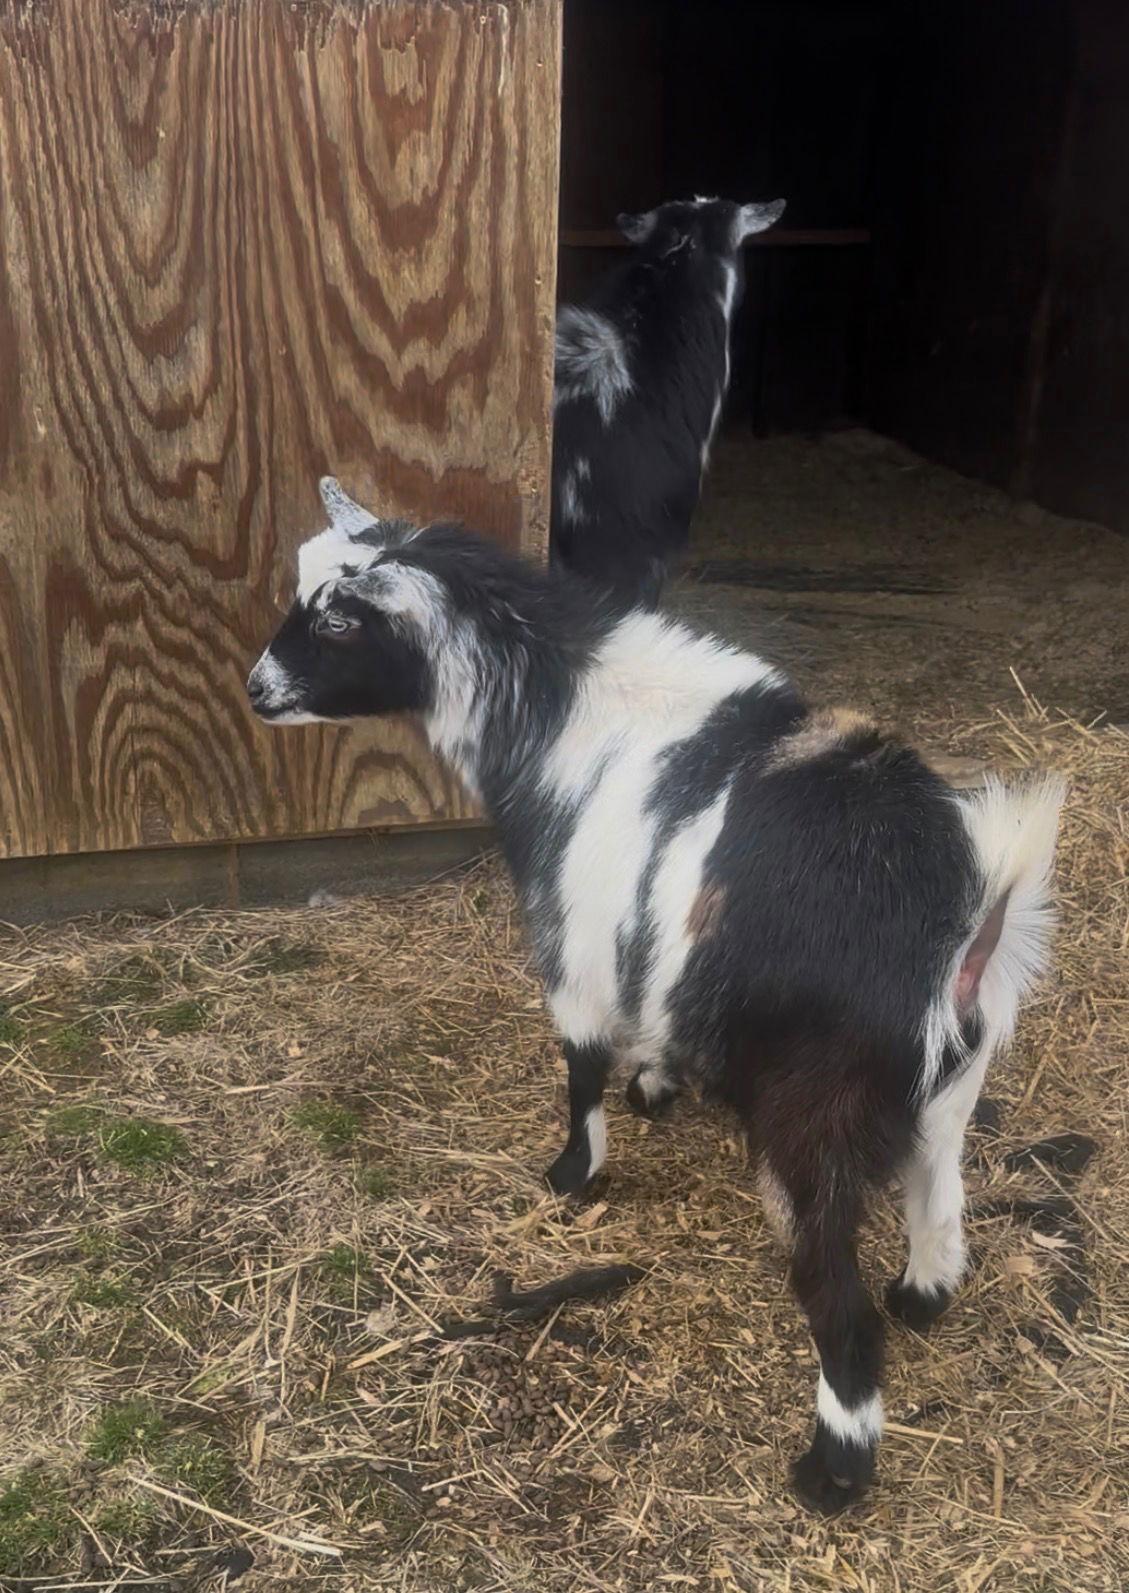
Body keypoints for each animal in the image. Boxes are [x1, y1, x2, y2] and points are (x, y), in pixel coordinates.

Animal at [248, 478, 1064, 1514]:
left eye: (339, 619)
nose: (255, 689)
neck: (562, 716)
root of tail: (965, 917)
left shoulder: (572, 937)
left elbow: (579, 1063)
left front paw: (572, 1173)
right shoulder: (648, 941)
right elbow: (646, 1024)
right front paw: (657, 1087)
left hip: (816, 1110)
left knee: (836, 1297)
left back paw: (833, 1466)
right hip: (953, 1080)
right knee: (939, 1197)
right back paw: (921, 1296)